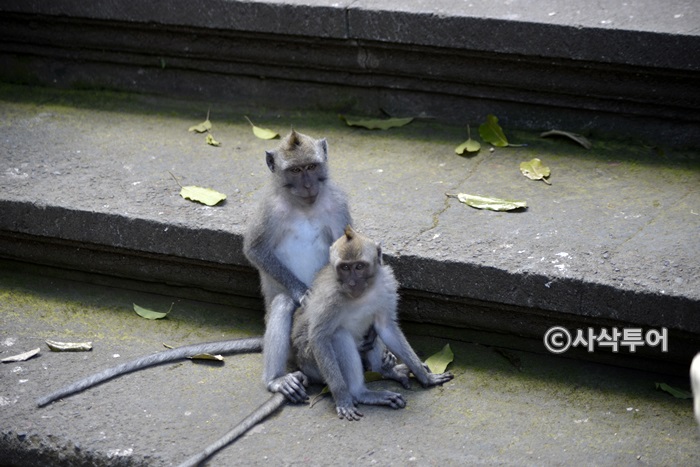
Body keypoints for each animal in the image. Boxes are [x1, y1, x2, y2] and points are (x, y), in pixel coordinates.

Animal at [36, 130, 350, 407]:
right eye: (295, 170)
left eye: (311, 166)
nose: (308, 185)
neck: (303, 205)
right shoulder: (268, 208)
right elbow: (255, 250)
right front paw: (303, 293)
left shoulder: (338, 203)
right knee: (283, 305)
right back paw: (276, 379)